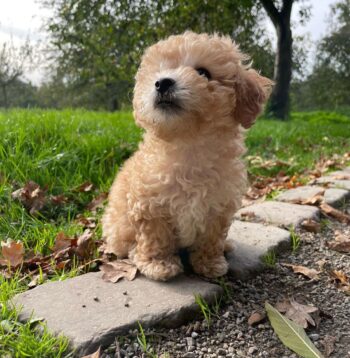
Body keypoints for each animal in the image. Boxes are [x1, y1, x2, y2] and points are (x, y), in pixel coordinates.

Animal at [102, 32, 272, 282]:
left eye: (203, 72)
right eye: (158, 71)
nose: (162, 82)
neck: (188, 144)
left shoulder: (218, 207)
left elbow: (211, 238)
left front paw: (210, 263)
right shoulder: (148, 204)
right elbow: (155, 236)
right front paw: (159, 264)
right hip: (117, 227)